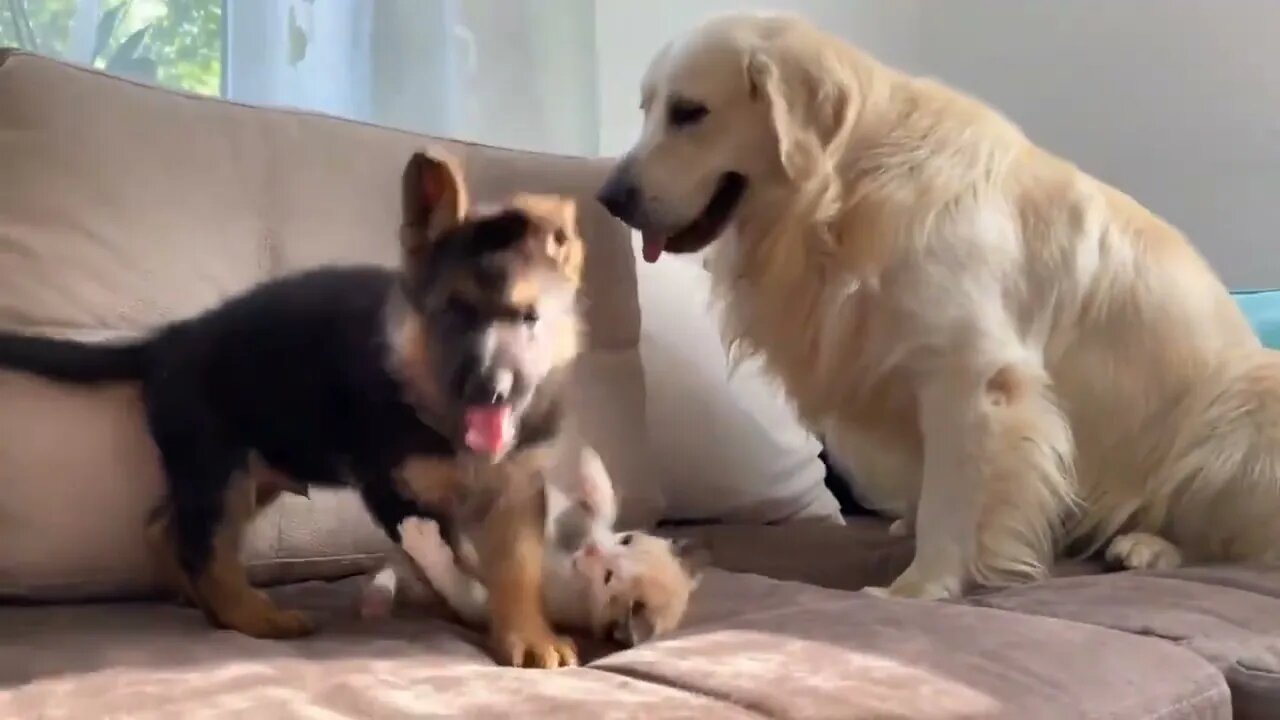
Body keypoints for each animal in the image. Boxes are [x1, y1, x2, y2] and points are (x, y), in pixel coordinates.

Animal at [0, 149, 586, 666]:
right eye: (453, 312)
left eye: (530, 318)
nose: (491, 391)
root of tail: (168, 341)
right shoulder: (393, 490)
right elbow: (454, 563)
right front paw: (472, 607)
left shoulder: (518, 491)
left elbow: (516, 568)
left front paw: (526, 633)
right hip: (218, 469)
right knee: (204, 549)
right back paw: (252, 615)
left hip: (248, 472)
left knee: (164, 526)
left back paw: (195, 597)